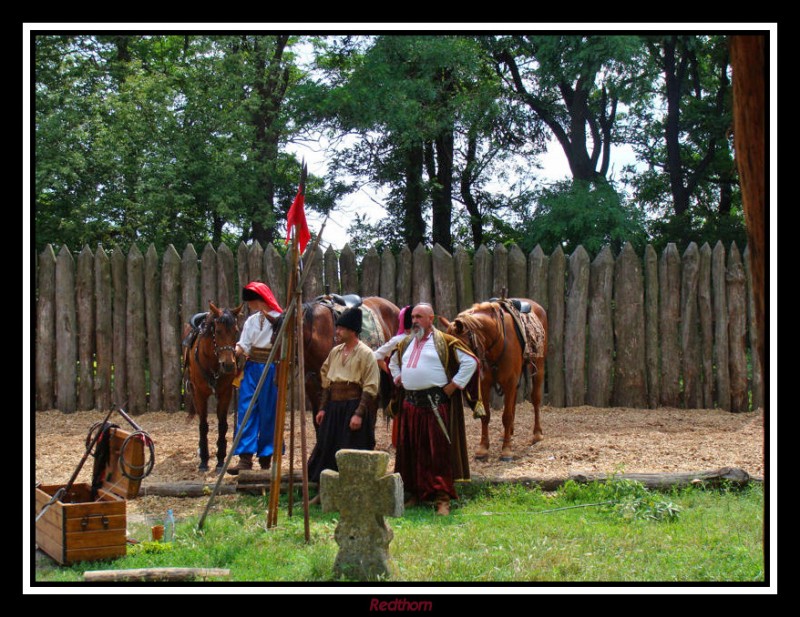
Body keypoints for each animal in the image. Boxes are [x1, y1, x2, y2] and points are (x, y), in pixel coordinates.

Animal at [183, 300, 242, 470]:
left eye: (236, 331)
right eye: (218, 331)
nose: (228, 365)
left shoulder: (225, 393)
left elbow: (223, 424)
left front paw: (221, 459)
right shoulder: (199, 394)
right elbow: (203, 425)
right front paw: (204, 459)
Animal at [440, 296, 548, 460]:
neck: (497, 340)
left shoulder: (509, 382)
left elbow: (506, 416)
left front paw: (506, 450)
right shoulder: (485, 383)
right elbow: (486, 415)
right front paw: (483, 448)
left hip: (538, 365)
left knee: (535, 399)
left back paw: (536, 434)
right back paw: (508, 433)